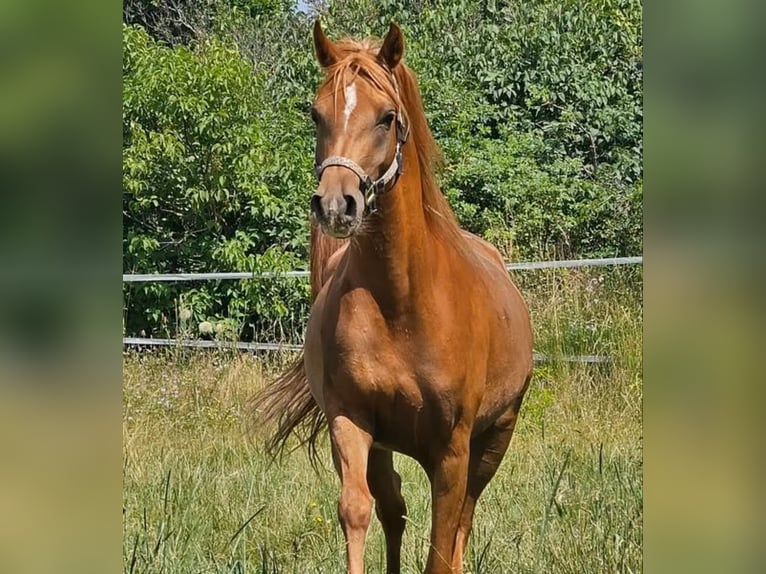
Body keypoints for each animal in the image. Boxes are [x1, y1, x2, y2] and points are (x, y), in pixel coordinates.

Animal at [253, 21, 533, 574]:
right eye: (316, 113)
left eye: (386, 117)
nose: (336, 205)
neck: (403, 304)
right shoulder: (350, 421)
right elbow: (358, 510)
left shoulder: (453, 449)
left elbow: (443, 542)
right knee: (393, 509)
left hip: (496, 437)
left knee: (464, 518)